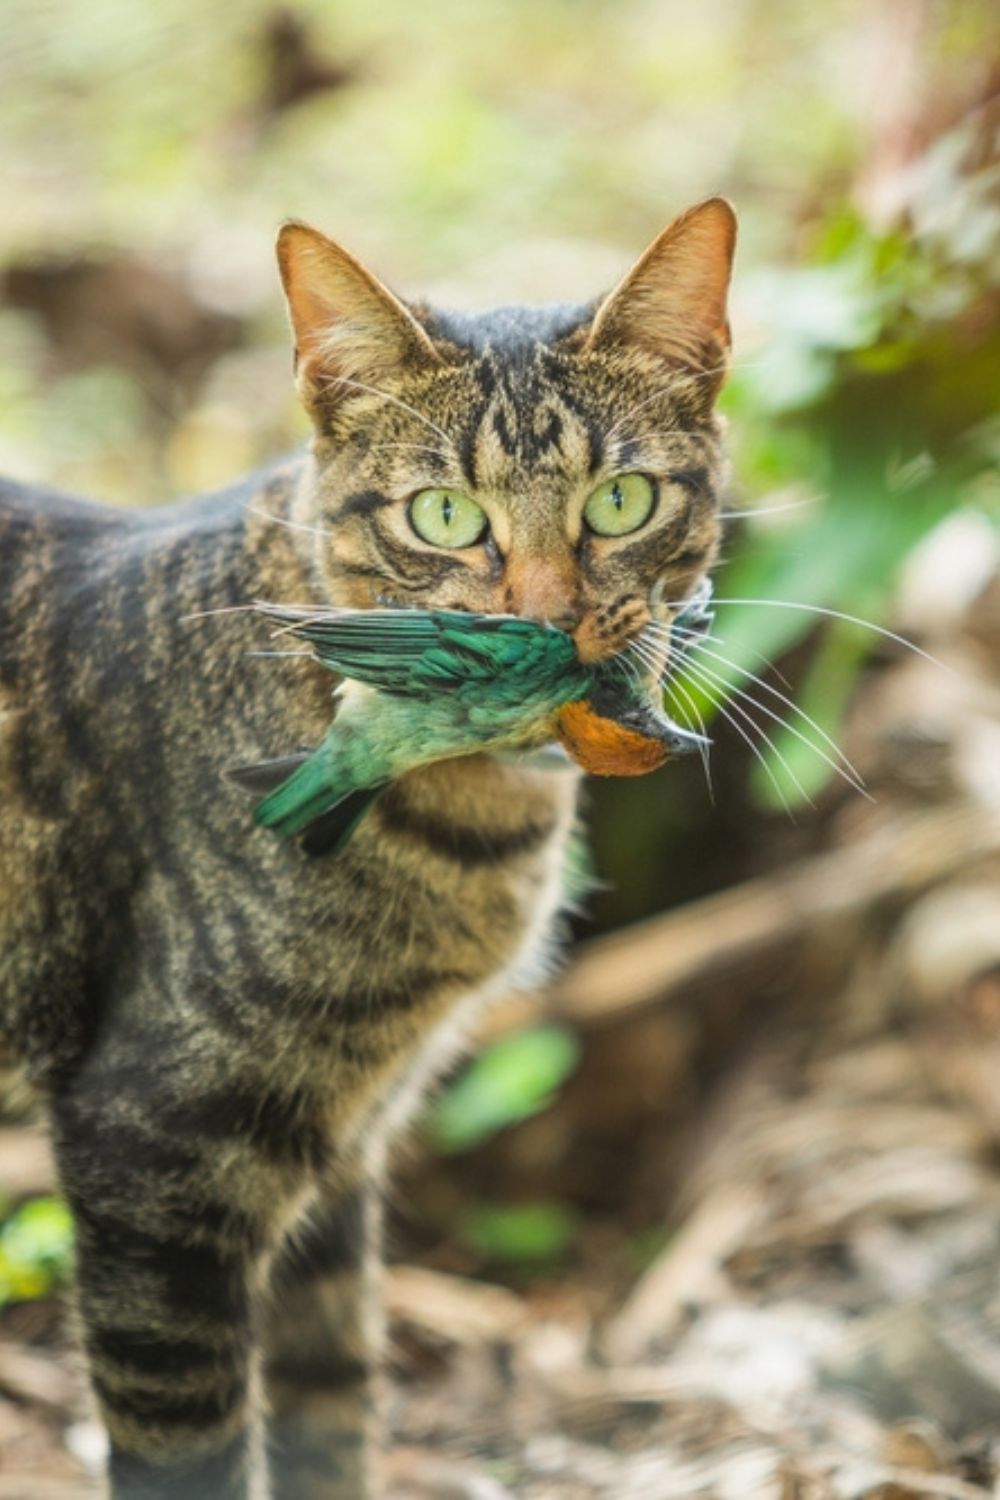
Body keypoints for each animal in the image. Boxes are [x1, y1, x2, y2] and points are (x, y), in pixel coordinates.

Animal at [0, 193, 734, 1494]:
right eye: (443, 516)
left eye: (620, 502)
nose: (546, 623)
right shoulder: (152, 1141)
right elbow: (190, 1452)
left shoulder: (340, 1141)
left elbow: (330, 1405)